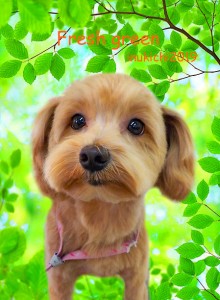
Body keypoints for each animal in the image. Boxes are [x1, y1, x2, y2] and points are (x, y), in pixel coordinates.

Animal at [31, 73, 193, 300]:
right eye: (77, 121)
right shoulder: (58, 276)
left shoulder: (137, 275)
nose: (93, 155)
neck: (100, 212)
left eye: (136, 126)